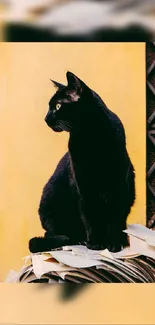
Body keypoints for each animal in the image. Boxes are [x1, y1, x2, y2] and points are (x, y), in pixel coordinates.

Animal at [29, 71, 136, 253]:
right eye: (50, 106)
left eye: (58, 106)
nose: (45, 118)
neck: (90, 136)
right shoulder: (83, 185)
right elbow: (90, 216)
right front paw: (94, 243)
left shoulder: (118, 184)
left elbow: (114, 219)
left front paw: (114, 244)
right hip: (49, 201)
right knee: (54, 233)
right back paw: (79, 240)